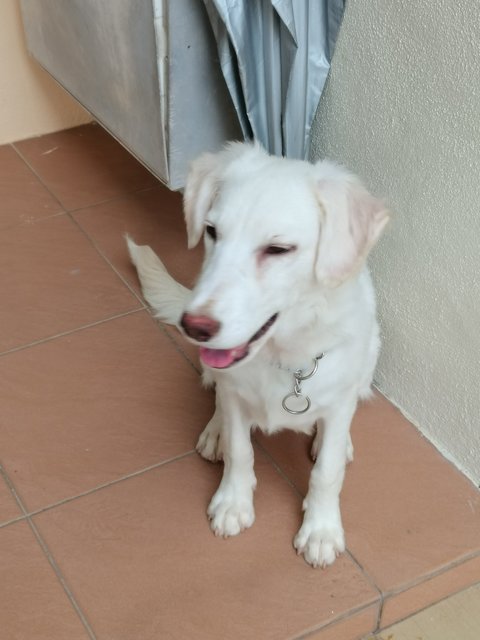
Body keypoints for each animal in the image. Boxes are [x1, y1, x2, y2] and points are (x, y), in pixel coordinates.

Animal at [126, 142, 386, 568]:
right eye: (212, 232)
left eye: (278, 249)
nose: (193, 326)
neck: (284, 356)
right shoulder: (233, 393)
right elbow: (239, 449)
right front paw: (233, 502)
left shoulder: (338, 396)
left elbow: (327, 471)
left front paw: (321, 529)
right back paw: (214, 431)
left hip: (370, 358)